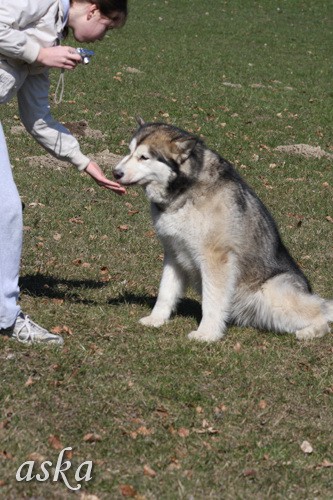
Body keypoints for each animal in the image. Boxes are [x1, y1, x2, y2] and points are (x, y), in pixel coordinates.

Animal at [113, 120, 330, 340]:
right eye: (129, 151)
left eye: (144, 157)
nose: (115, 172)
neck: (184, 192)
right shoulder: (173, 253)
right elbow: (165, 292)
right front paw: (156, 319)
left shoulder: (215, 258)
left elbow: (212, 301)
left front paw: (207, 333)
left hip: (272, 291)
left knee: (322, 312)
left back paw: (309, 332)